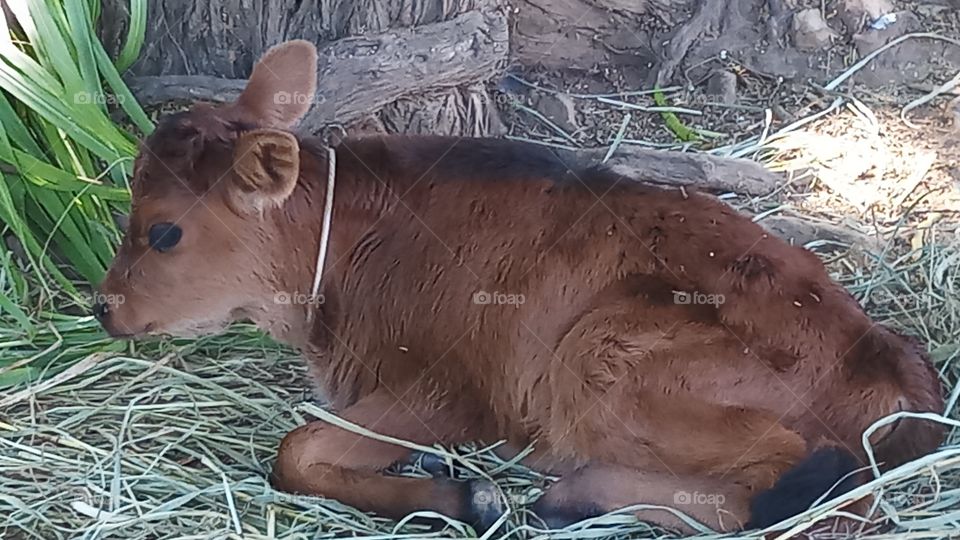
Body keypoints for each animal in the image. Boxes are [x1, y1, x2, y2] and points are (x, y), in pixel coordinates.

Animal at [96, 40, 944, 533]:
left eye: (164, 231)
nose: (104, 307)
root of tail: (893, 366)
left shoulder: (447, 389)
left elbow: (297, 449)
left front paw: (469, 498)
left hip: (603, 354)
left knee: (793, 488)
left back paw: (566, 493)